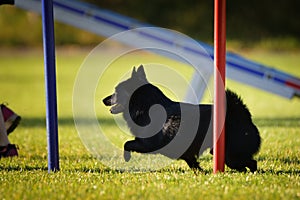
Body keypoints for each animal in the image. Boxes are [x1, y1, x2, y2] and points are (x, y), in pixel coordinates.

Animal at [102, 65, 260, 172]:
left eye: (116, 91)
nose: (103, 100)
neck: (146, 107)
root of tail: (242, 114)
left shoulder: (148, 145)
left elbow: (127, 144)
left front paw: (126, 158)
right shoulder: (186, 152)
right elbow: (192, 162)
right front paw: (200, 172)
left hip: (230, 155)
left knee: (252, 163)